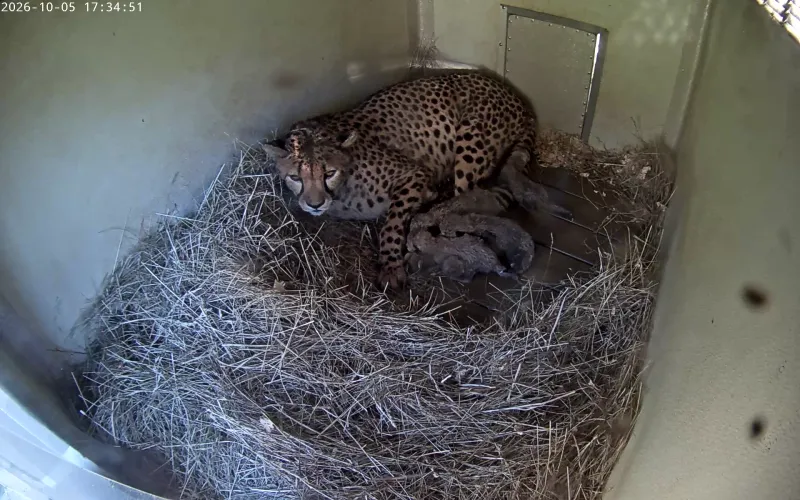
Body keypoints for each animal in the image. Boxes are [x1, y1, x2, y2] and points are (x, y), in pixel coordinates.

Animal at [263, 71, 540, 289]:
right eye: (295, 177)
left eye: (329, 173)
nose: (315, 204)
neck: (342, 191)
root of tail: (514, 95)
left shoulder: (413, 174)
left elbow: (392, 222)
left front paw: (391, 267)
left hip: (470, 141)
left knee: (461, 202)